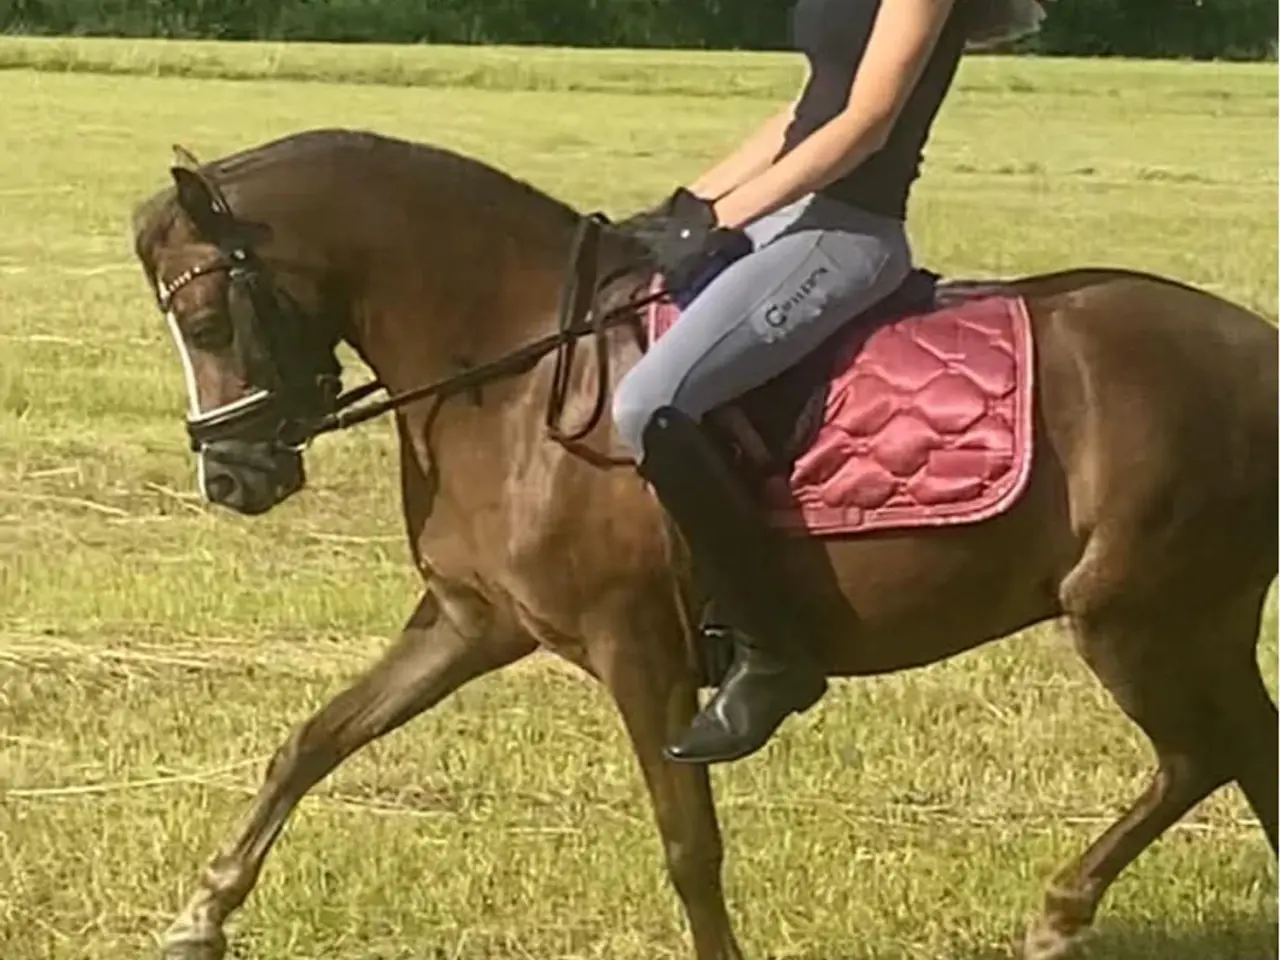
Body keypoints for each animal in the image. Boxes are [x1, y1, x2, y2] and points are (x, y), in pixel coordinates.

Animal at [129, 127, 1277, 960]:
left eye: (208, 318)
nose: (231, 478)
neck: (512, 370)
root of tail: (1258, 349)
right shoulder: (473, 622)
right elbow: (313, 741)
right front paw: (201, 914)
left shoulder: (637, 646)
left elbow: (689, 843)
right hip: (1203, 620)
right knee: (1251, 755)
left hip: (1133, 618)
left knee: (1200, 756)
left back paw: (1057, 914)